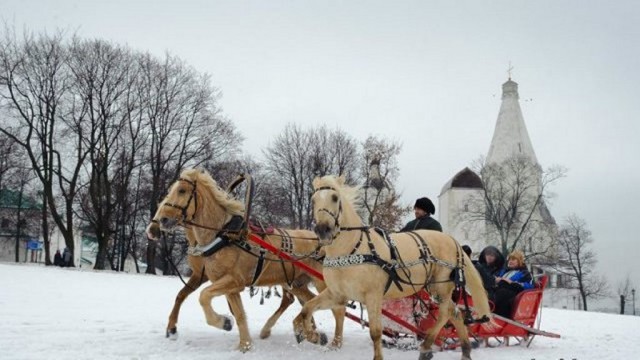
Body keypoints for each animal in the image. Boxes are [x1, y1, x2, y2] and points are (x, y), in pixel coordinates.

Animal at [149, 169, 344, 352]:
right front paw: (244, 345)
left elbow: (204, 296)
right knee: (309, 303)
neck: (225, 234)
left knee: (337, 308)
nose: (161, 222)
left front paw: (224, 322)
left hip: (322, 282)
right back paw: (311, 334)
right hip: (297, 283)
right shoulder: (229, 286)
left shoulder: (234, 280)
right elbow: (239, 315)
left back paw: (335, 342)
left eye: (182, 190)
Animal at [296, 176, 490, 360]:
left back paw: (426, 346)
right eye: (313, 200)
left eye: (335, 198)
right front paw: (312, 336)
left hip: (441, 287)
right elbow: (307, 309)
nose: (322, 230)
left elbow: (375, 332)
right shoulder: (337, 294)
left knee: (445, 314)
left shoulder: (373, 296)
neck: (352, 249)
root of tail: (452, 240)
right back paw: (464, 351)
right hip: (434, 288)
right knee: (456, 313)